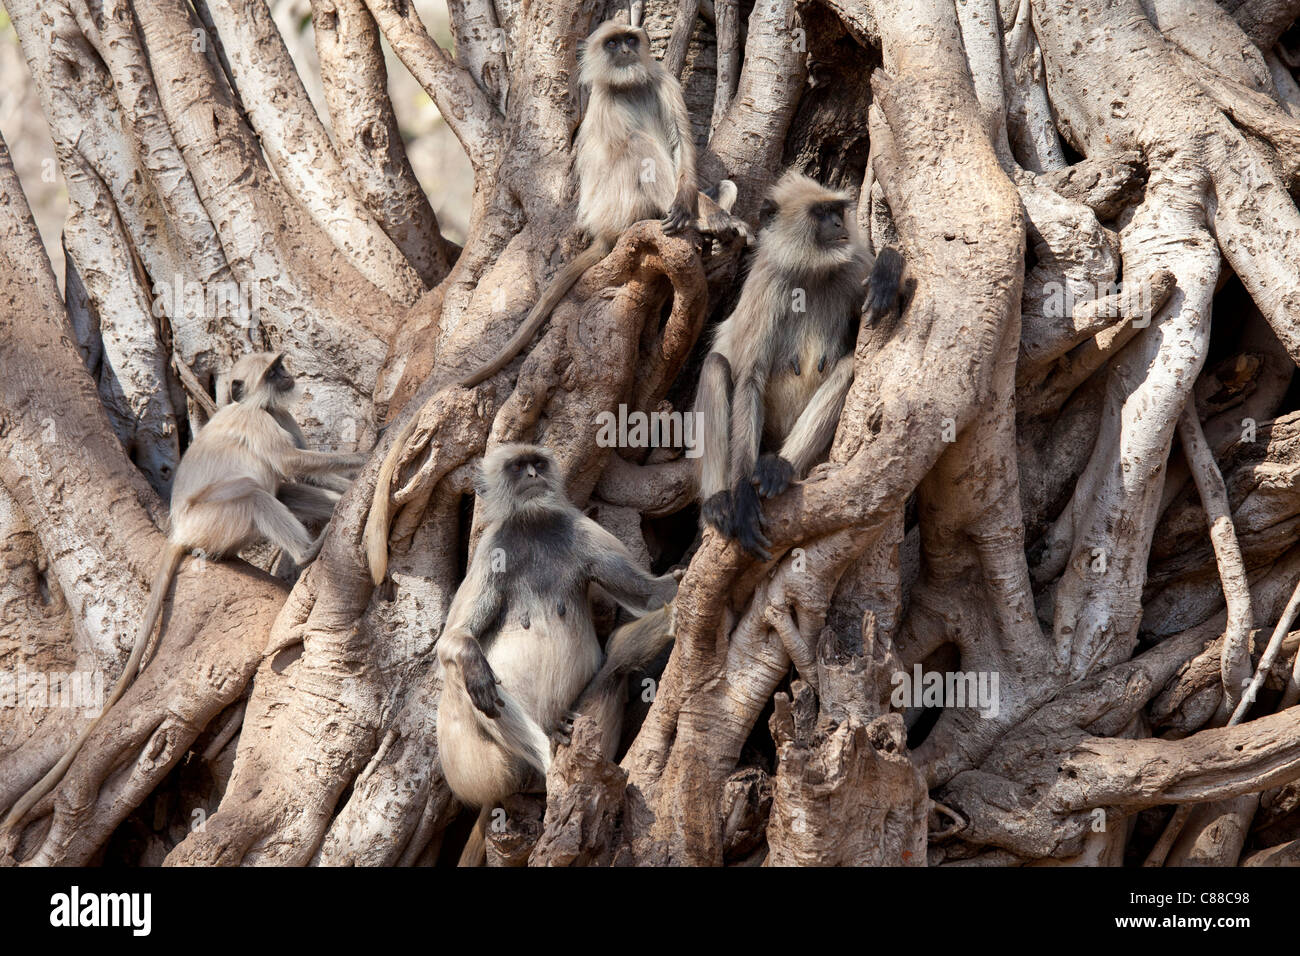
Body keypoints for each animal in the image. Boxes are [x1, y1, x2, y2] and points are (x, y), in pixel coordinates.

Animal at [3, 353, 366, 837]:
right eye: (273, 371)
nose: (288, 376)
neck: (256, 406)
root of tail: (179, 532)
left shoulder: (279, 416)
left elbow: (294, 471)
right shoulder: (257, 419)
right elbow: (290, 462)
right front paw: (370, 453)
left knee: (281, 490)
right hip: (216, 522)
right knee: (257, 490)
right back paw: (308, 551)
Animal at [439, 444, 676, 868]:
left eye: (538, 463)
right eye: (518, 467)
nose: (533, 475)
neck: (532, 525)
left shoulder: (577, 527)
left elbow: (652, 595)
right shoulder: (491, 547)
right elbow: (453, 640)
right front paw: (473, 665)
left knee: (617, 662)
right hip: (482, 771)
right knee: (462, 679)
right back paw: (547, 757)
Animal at [696, 172, 899, 561]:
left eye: (836, 210)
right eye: (820, 213)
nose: (838, 224)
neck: (811, 272)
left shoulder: (852, 268)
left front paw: (888, 270)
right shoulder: (766, 285)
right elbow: (750, 378)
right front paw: (743, 500)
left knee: (848, 366)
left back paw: (780, 468)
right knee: (715, 365)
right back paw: (719, 501)